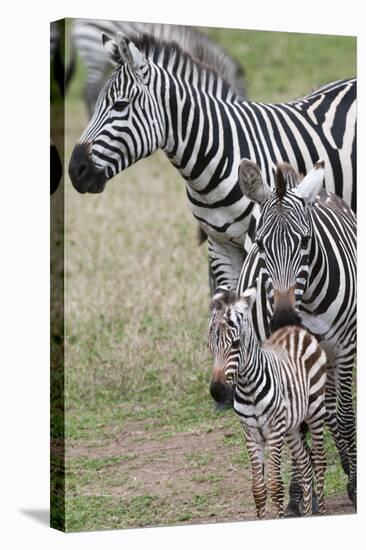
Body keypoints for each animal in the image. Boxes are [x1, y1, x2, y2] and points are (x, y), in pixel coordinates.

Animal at [207, 286, 328, 520]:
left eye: (235, 344)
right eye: (209, 346)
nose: (216, 391)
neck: (249, 388)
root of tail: (294, 329)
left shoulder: (273, 430)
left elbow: (275, 485)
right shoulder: (250, 432)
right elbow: (258, 488)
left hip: (315, 410)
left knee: (319, 461)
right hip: (291, 426)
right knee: (305, 463)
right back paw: (308, 514)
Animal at [234, 160, 358, 512]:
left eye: (304, 241)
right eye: (261, 244)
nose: (285, 318)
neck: (309, 302)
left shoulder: (345, 348)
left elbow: (345, 415)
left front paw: (355, 486)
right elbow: (295, 423)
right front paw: (295, 495)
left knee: (332, 410)